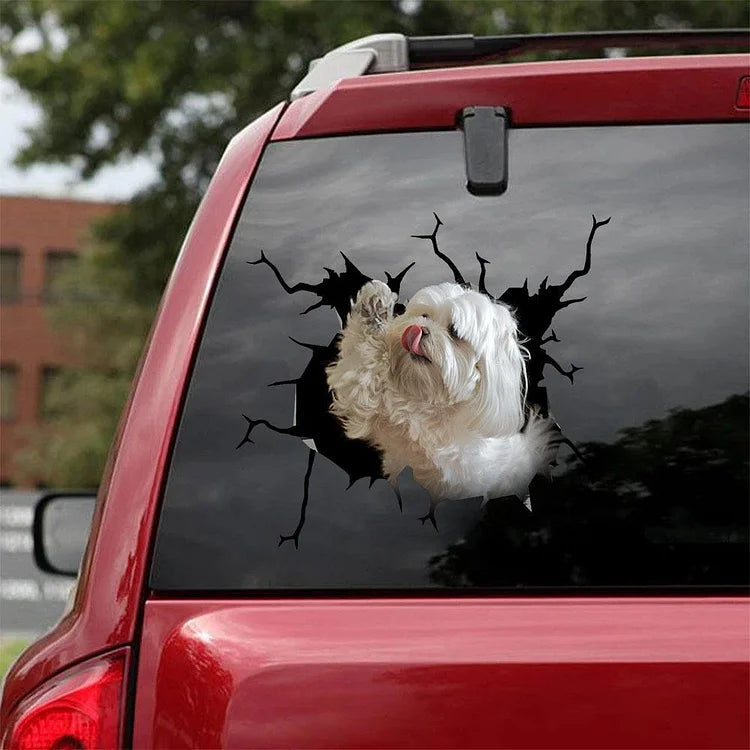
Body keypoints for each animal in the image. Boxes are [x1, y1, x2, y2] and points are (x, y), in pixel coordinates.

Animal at [328, 280, 560, 508]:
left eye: (454, 331)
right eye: (424, 315)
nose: (419, 328)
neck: (429, 398)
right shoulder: (367, 407)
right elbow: (357, 364)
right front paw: (374, 304)